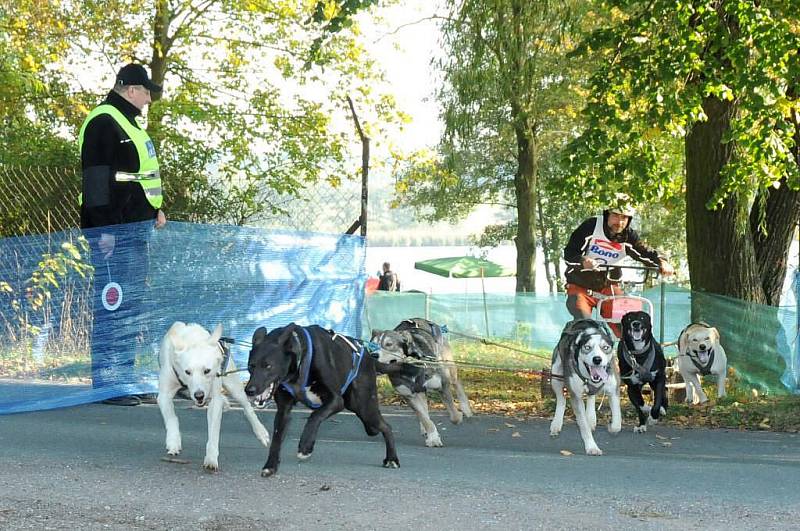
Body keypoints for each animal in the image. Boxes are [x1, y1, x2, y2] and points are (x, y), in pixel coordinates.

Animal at [244, 324, 400, 478]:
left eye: (268, 366)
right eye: (251, 366)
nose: (249, 390)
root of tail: (368, 355)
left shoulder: (336, 400)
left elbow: (315, 416)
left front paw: (305, 446)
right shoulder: (284, 411)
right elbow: (276, 439)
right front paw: (270, 466)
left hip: (364, 406)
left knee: (386, 426)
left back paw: (392, 459)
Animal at [552, 320, 624, 458]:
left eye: (605, 348)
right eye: (587, 347)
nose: (597, 359)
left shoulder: (614, 390)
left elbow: (617, 423)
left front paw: (610, 427)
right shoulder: (576, 396)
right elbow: (583, 425)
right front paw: (592, 447)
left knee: (591, 396)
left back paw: (591, 418)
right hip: (555, 375)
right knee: (561, 399)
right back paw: (556, 423)